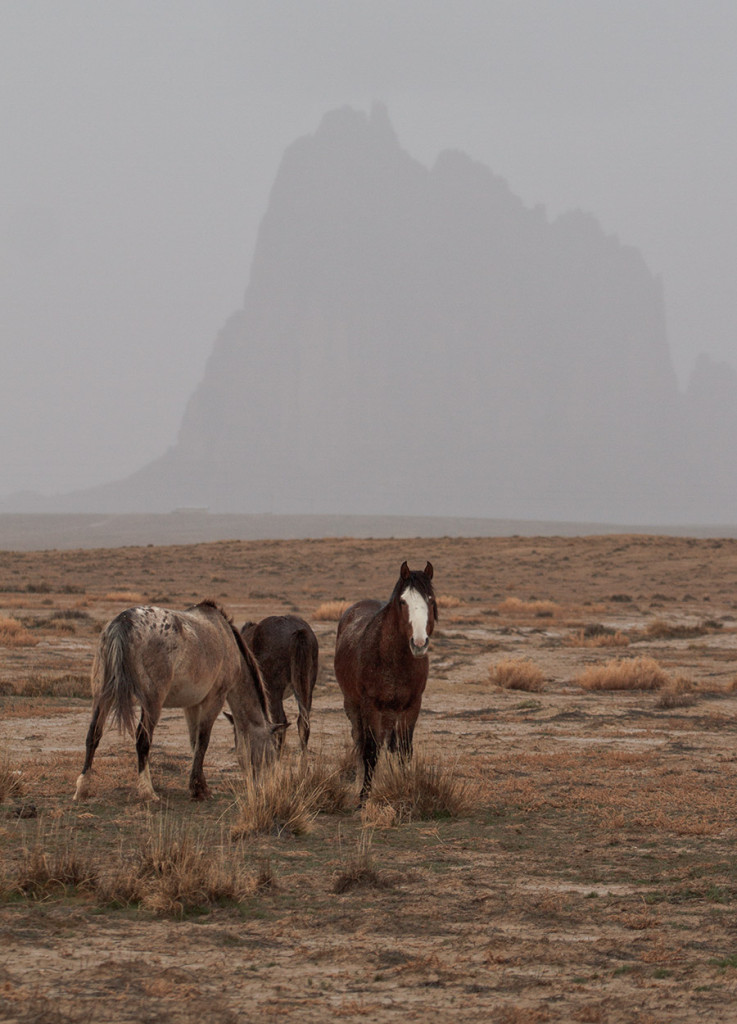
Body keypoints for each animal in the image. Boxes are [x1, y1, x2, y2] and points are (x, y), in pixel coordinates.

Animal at [73, 598, 278, 802]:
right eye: (270, 753)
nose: (265, 787)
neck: (225, 637)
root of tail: (122, 622)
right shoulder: (215, 700)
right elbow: (203, 740)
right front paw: (200, 789)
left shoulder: (191, 705)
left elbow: (195, 742)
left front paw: (198, 786)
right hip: (152, 702)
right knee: (142, 739)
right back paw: (148, 791)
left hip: (103, 695)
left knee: (93, 734)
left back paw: (83, 788)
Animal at [333, 561, 438, 798]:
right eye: (403, 601)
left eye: (430, 599)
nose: (419, 643)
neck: (393, 660)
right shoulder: (370, 706)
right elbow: (370, 751)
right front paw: (363, 798)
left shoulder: (412, 706)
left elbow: (404, 750)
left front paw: (406, 786)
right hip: (353, 704)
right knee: (359, 739)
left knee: (388, 743)